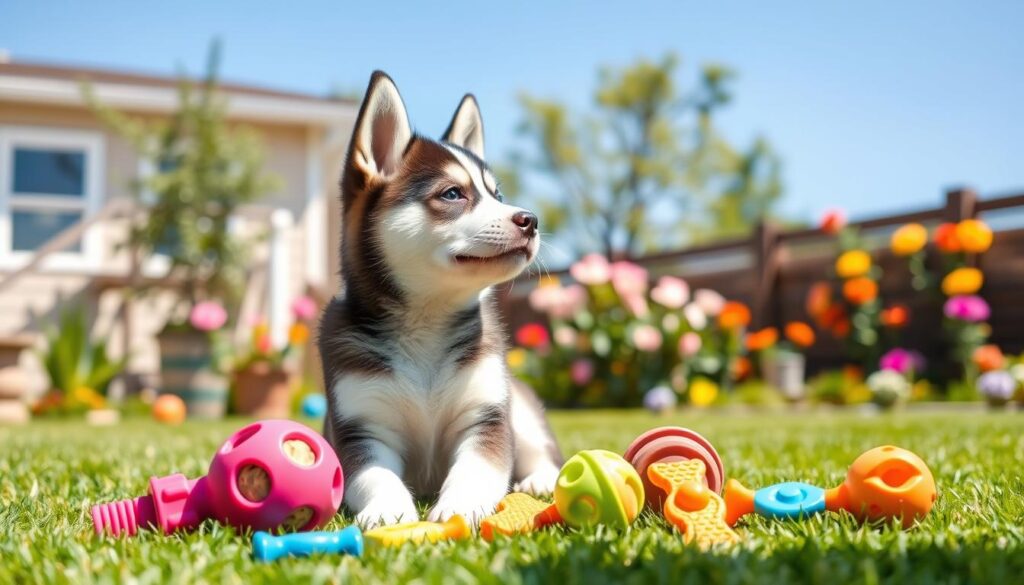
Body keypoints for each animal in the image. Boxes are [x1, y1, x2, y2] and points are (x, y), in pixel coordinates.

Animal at [317, 71, 561, 528]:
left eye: (497, 195)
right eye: (452, 194)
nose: (531, 220)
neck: (425, 325)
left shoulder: (486, 419)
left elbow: (477, 469)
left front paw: (461, 505)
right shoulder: (361, 427)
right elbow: (374, 475)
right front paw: (387, 510)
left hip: (519, 408)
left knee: (541, 450)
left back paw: (541, 478)